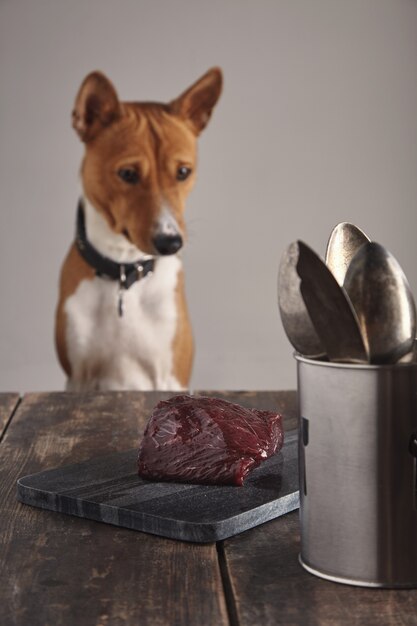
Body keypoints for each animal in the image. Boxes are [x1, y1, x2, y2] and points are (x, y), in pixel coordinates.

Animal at [57, 69, 223, 390]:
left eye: (183, 172)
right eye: (127, 174)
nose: (170, 242)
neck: (124, 272)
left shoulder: (170, 377)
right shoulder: (78, 377)